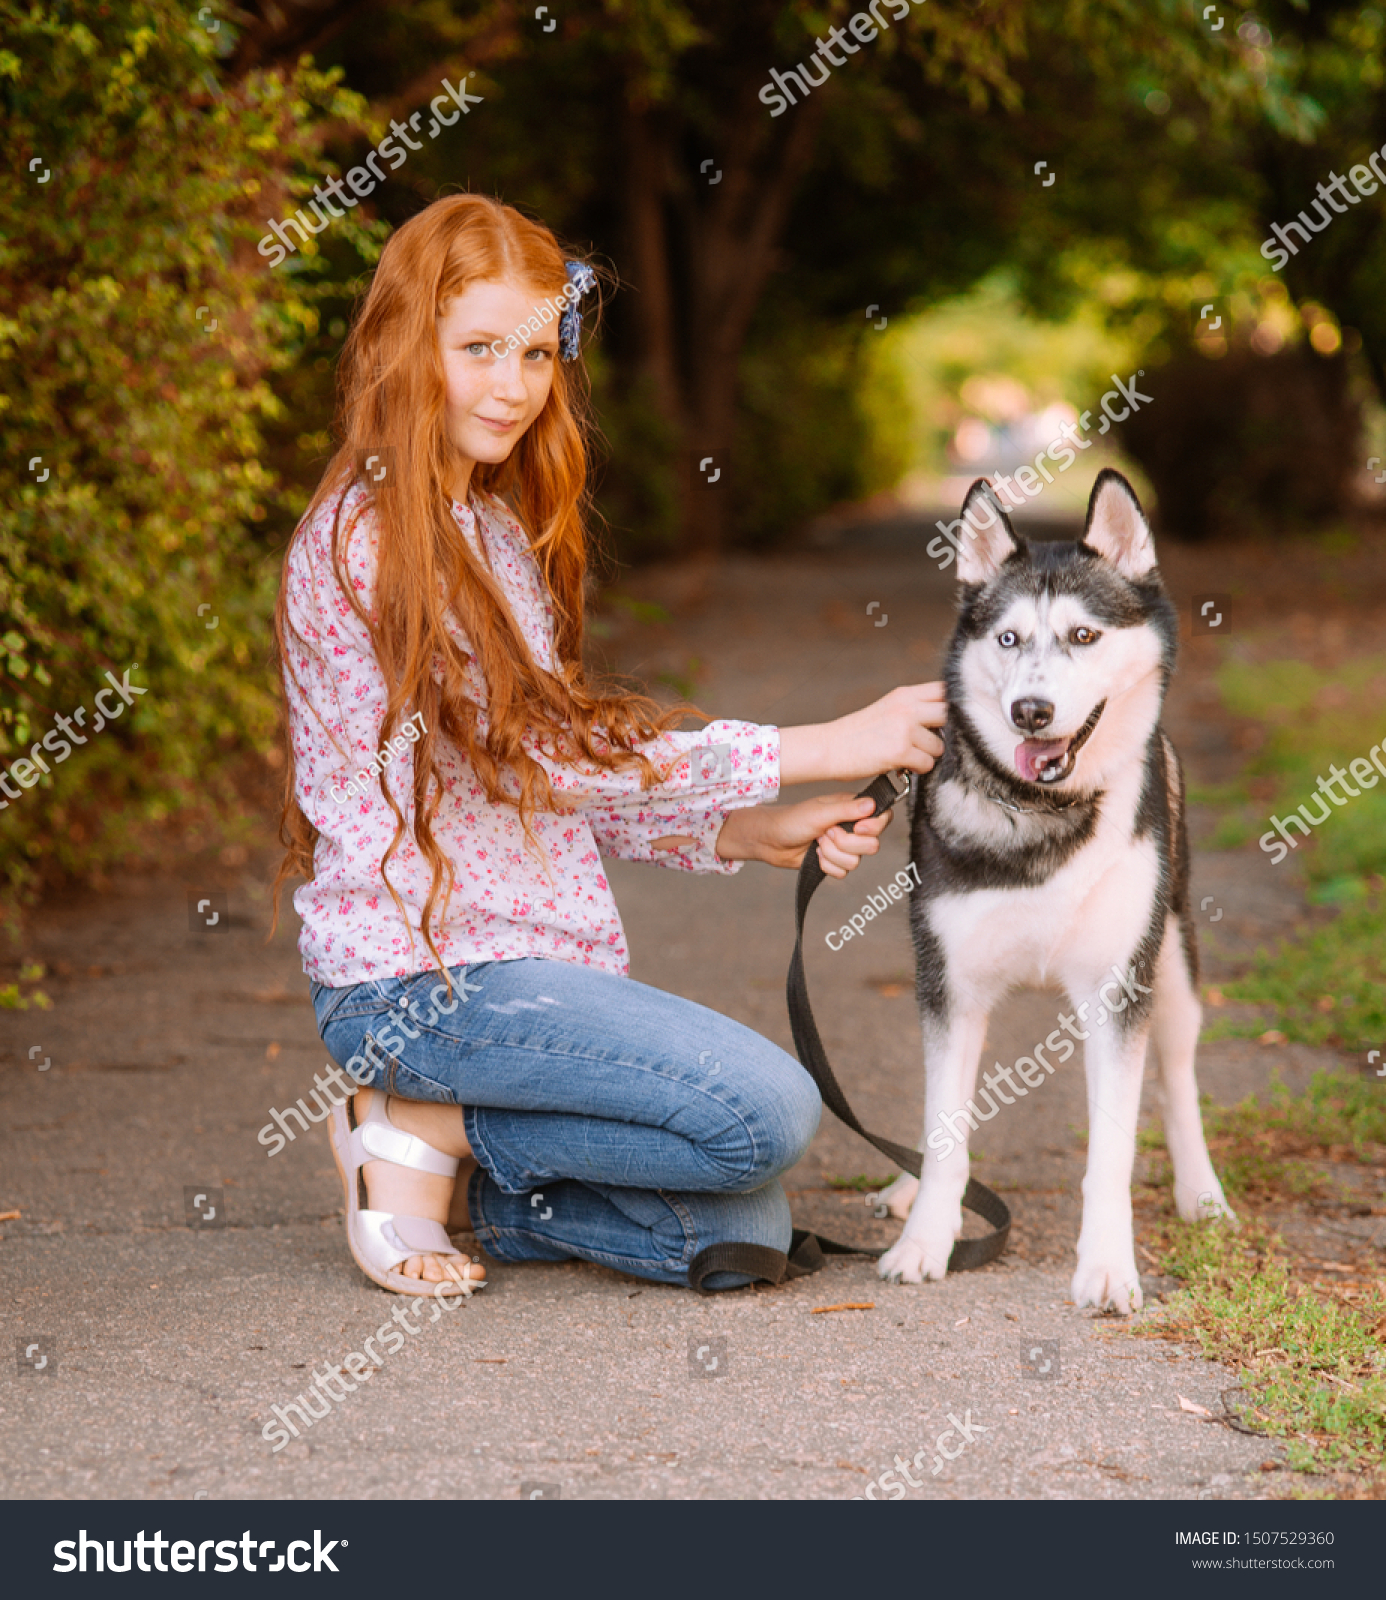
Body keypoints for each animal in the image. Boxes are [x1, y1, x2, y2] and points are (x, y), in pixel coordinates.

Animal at [883, 467, 1229, 1312]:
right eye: (1008, 639)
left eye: (1083, 637)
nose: (1030, 711)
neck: (1044, 816)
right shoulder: (950, 984)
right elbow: (946, 1128)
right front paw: (925, 1239)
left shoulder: (1118, 987)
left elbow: (1112, 1149)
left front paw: (1107, 1266)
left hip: (1173, 965)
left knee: (1178, 1078)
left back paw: (1201, 1192)